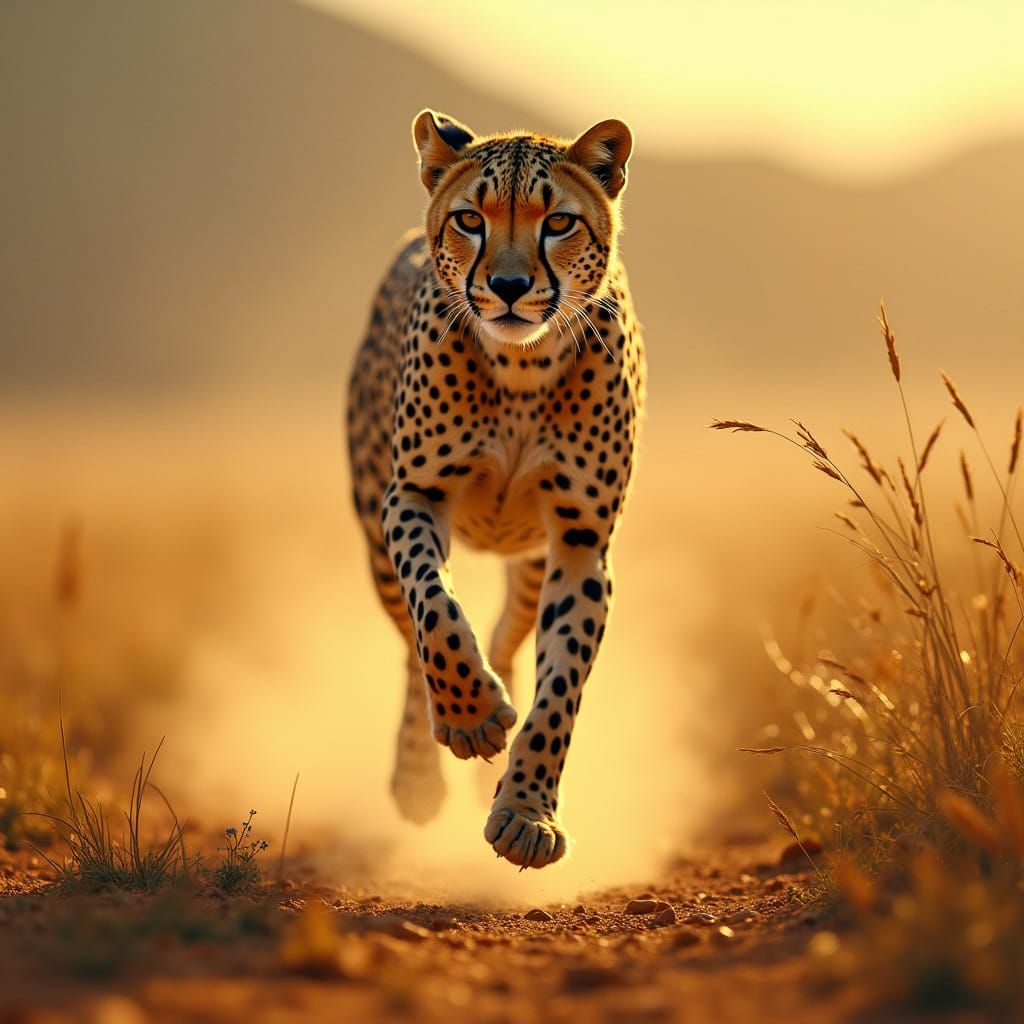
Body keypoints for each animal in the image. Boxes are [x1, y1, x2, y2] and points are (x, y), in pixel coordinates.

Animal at [345, 109, 646, 869]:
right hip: (374, 543)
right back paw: (422, 772)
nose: (509, 286)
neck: (522, 366)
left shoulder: (580, 541)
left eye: (559, 222)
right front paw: (471, 716)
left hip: (532, 560)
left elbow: (560, 685)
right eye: (469, 219)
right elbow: (435, 608)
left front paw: (526, 812)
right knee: (409, 642)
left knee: (510, 634)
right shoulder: (414, 496)